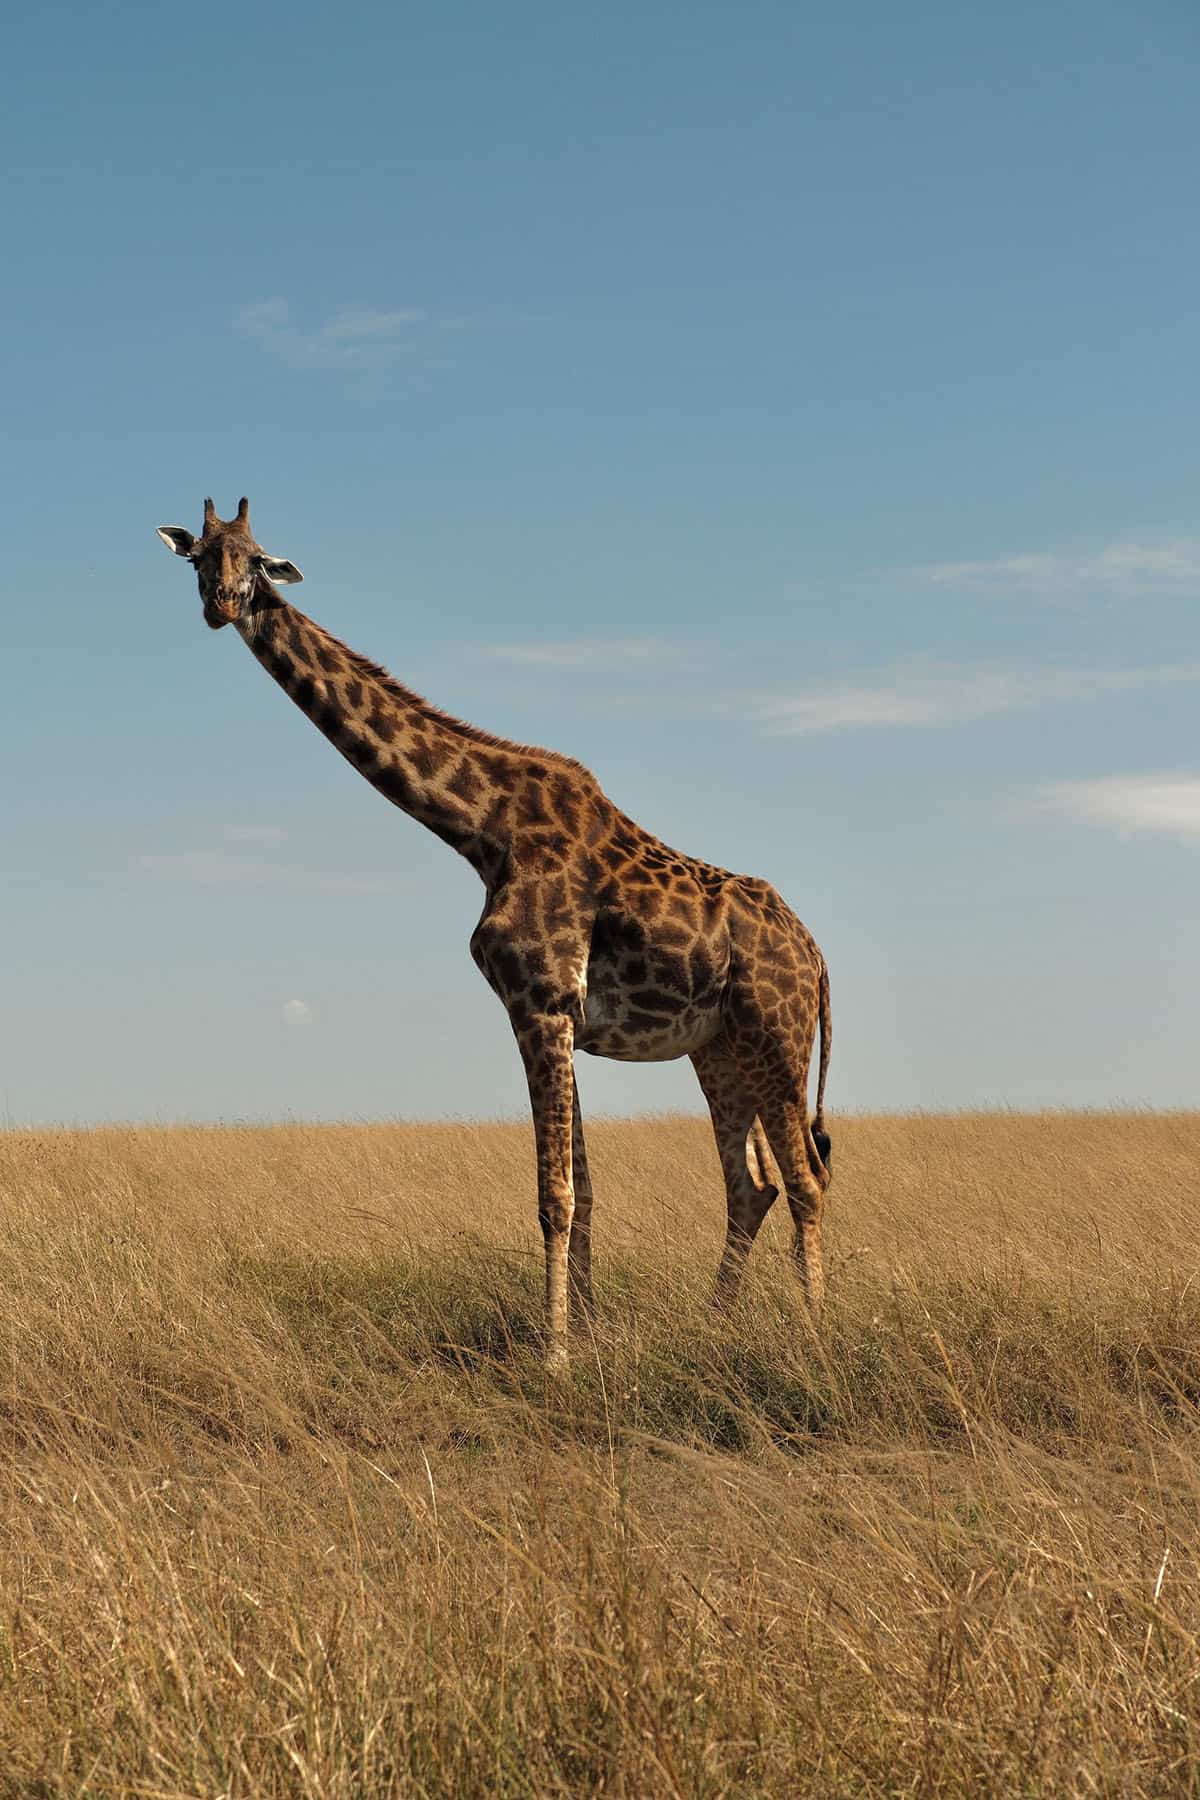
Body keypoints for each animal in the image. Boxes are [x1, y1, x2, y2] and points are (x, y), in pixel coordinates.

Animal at [157, 498, 833, 1366]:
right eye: (199, 556)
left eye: (256, 557)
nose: (222, 604)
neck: (481, 830)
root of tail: (817, 957)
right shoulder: (557, 1014)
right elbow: (585, 1193)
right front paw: (588, 1338)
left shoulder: (539, 1002)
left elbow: (556, 1195)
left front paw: (554, 1358)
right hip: (719, 1051)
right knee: (753, 1185)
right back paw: (714, 1325)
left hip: (778, 1039)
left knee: (805, 1181)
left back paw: (813, 1336)